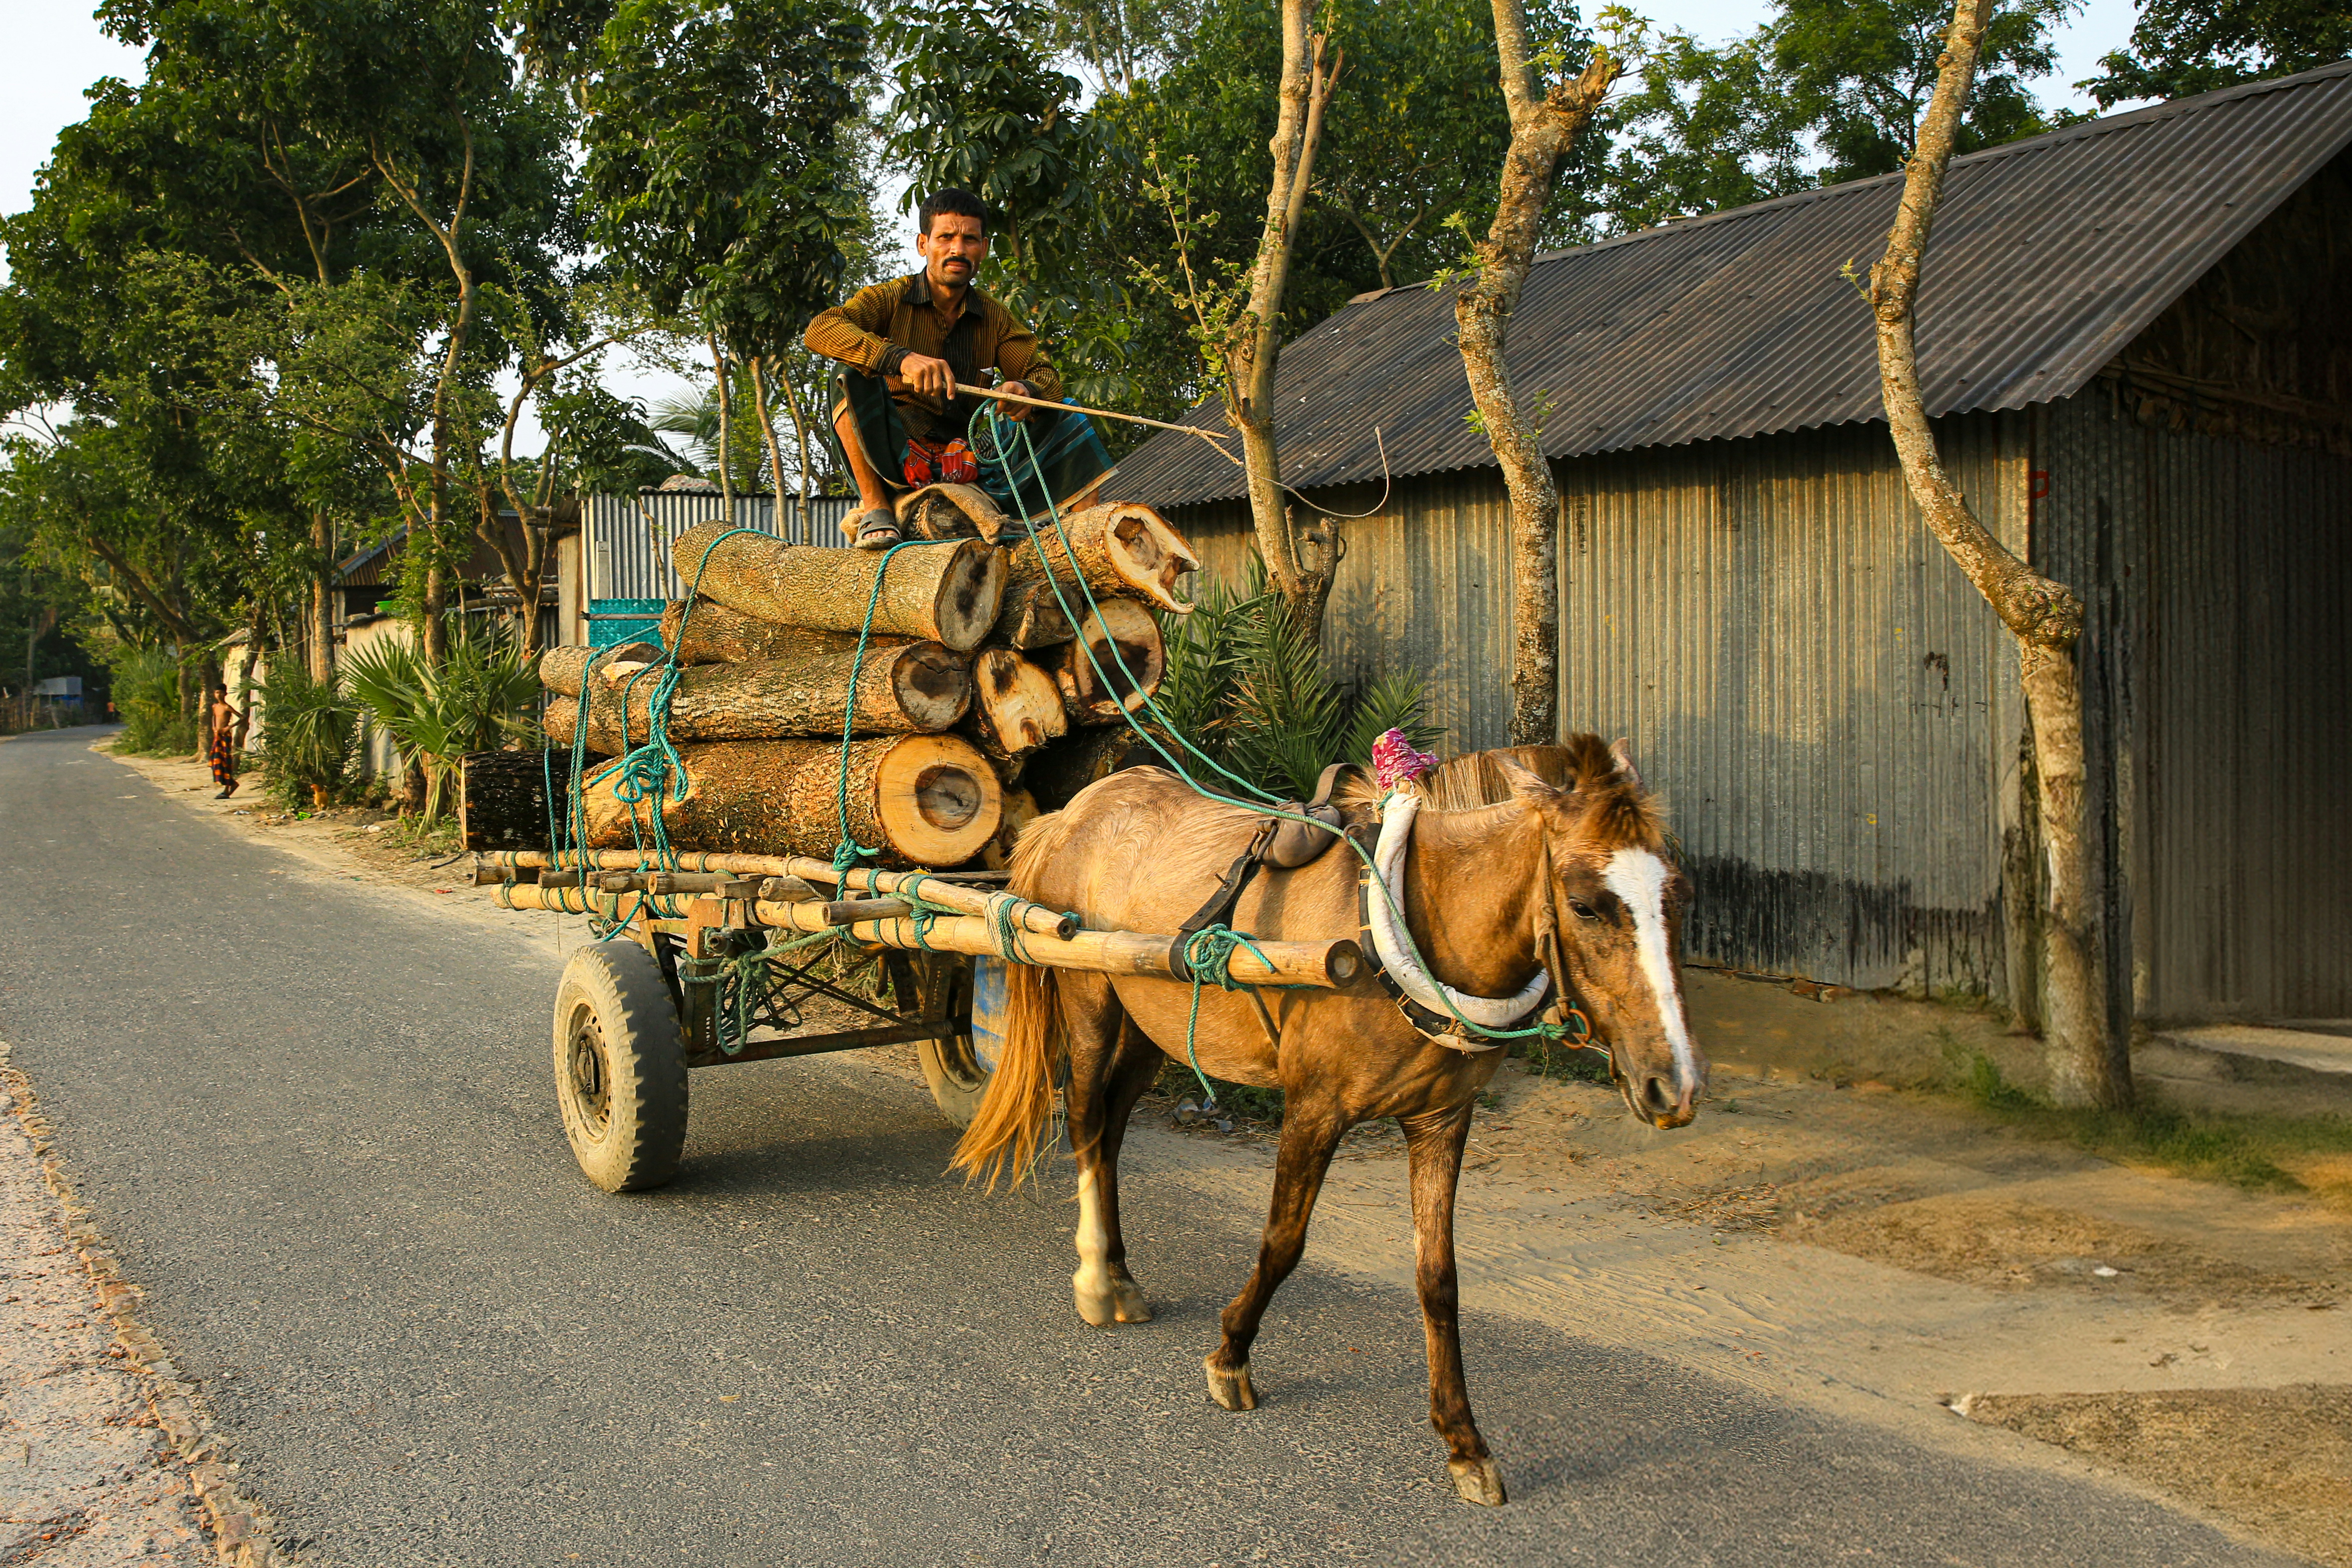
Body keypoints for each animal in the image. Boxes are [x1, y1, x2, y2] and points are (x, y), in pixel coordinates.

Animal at [953, 737, 1708, 1506]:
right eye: (1585, 905)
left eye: (1678, 896)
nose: (1672, 1084)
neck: (1409, 917)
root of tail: (1075, 810)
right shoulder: (1315, 1106)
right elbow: (1282, 1242)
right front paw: (1230, 1355)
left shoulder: (1442, 1118)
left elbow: (1438, 1277)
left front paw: (1462, 1440)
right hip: (1089, 998)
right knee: (1082, 1120)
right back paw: (1095, 1281)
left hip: (1151, 1027)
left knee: (1110, 1131)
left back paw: (1121, 1271)